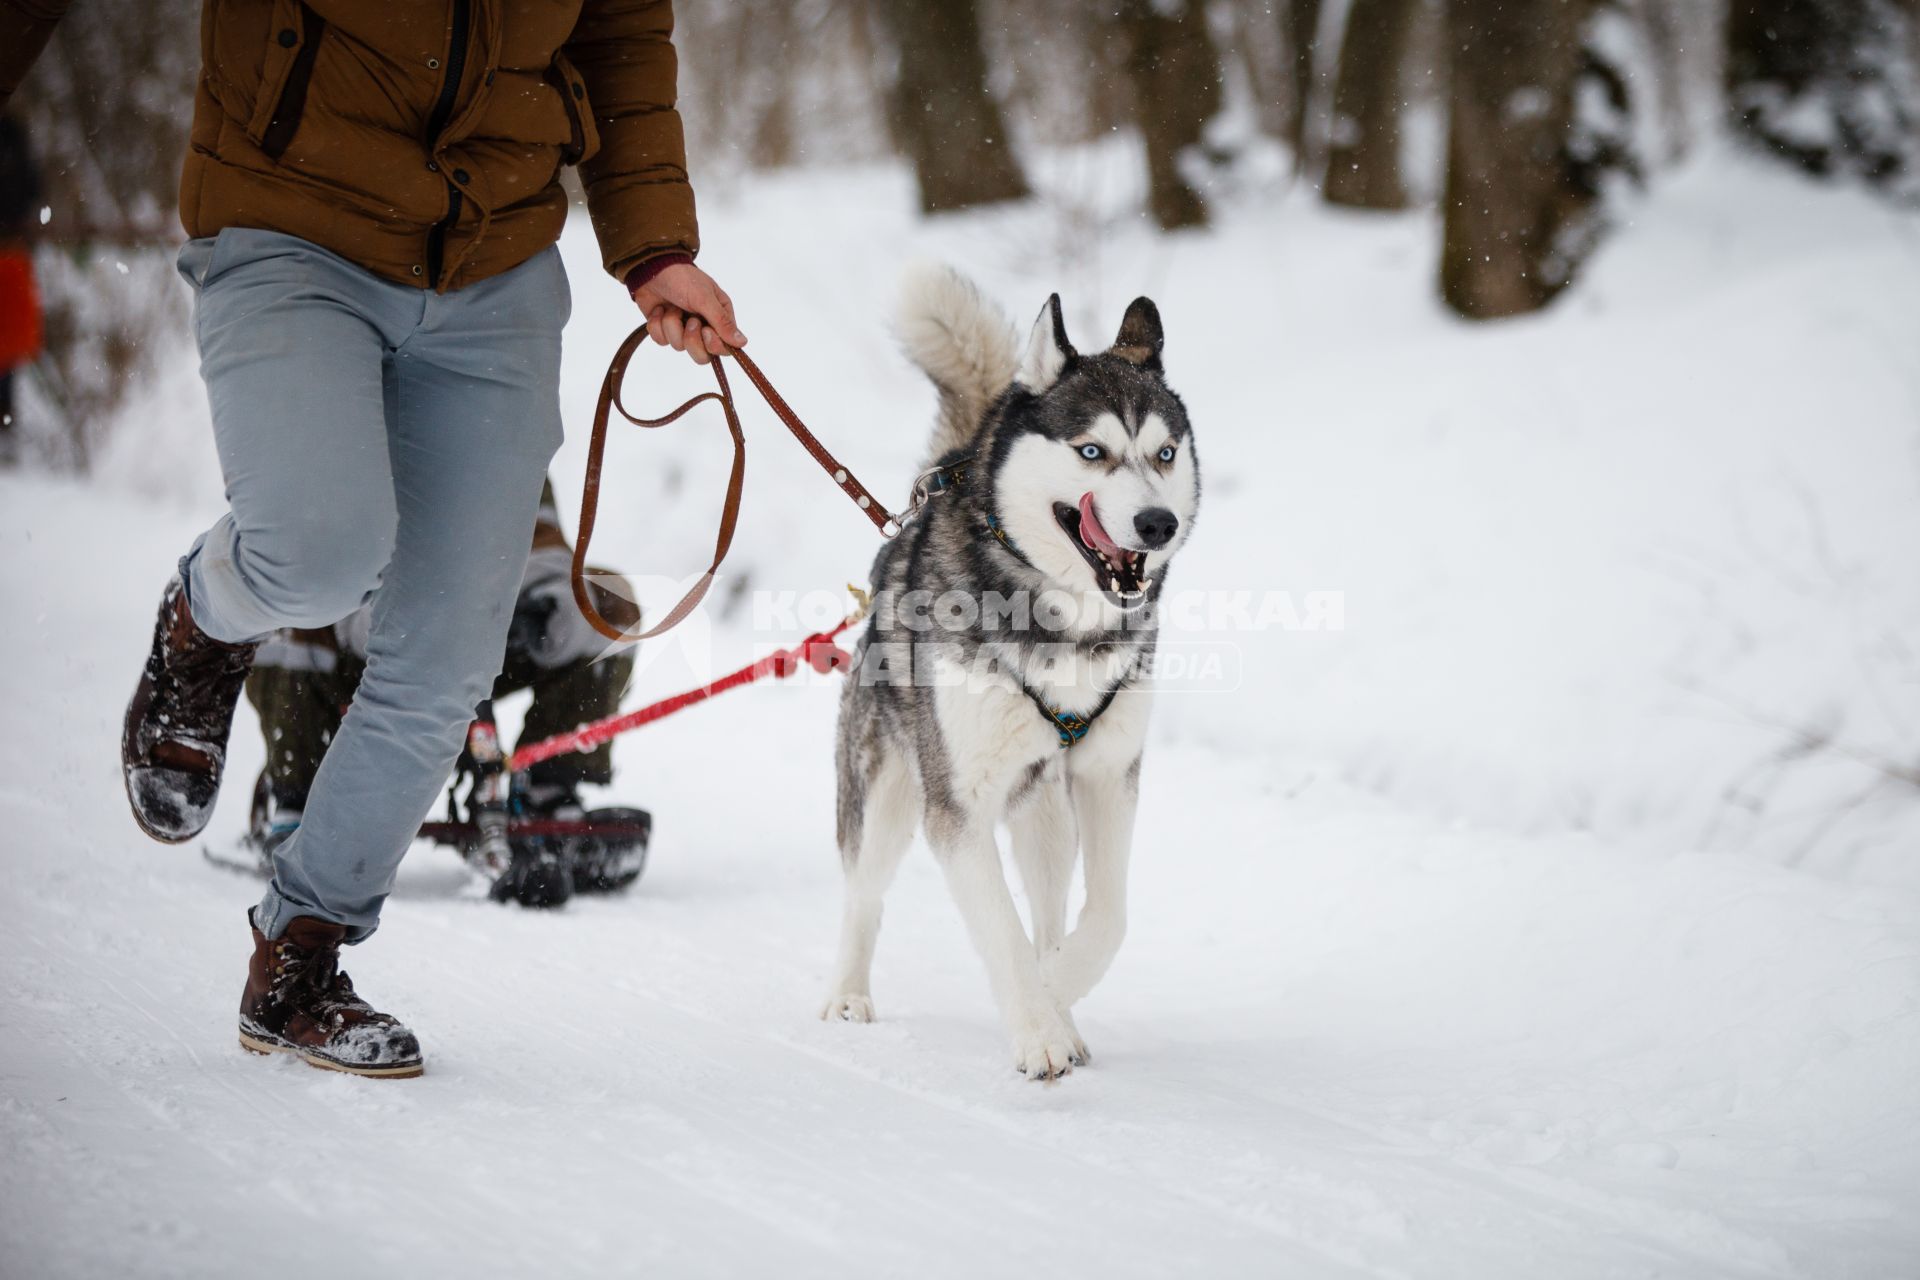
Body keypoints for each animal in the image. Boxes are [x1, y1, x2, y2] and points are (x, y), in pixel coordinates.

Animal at [821, 268, 1198, 1082]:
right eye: (1091, 450)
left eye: (1164, 453)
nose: (1157, 525)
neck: (1066, 623)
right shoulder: (956, 806)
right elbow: (1000, 929)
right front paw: (1039, 1028)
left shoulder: (1109, 777)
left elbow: (1106, 919)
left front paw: (1056, 998)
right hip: (888, 792)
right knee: (862, 893)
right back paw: (846, 994)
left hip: (1045, 812)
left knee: (1051, 907)